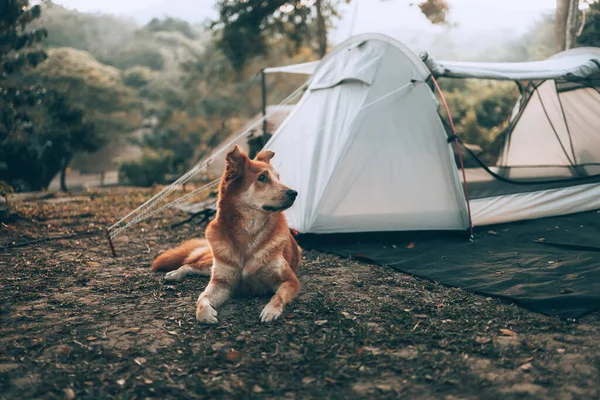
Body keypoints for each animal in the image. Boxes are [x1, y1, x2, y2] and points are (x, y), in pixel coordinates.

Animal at [150, 145, 300, 324]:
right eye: (262, 178)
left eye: (278, 178)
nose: (295, 193)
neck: (247, 234)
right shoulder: (221, 282)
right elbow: (202, 297)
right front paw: (204, 314)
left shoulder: (290, 280)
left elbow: (278, 296)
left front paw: (270, 310)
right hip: (212, 264)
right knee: (191, 265)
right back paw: (175, 273)